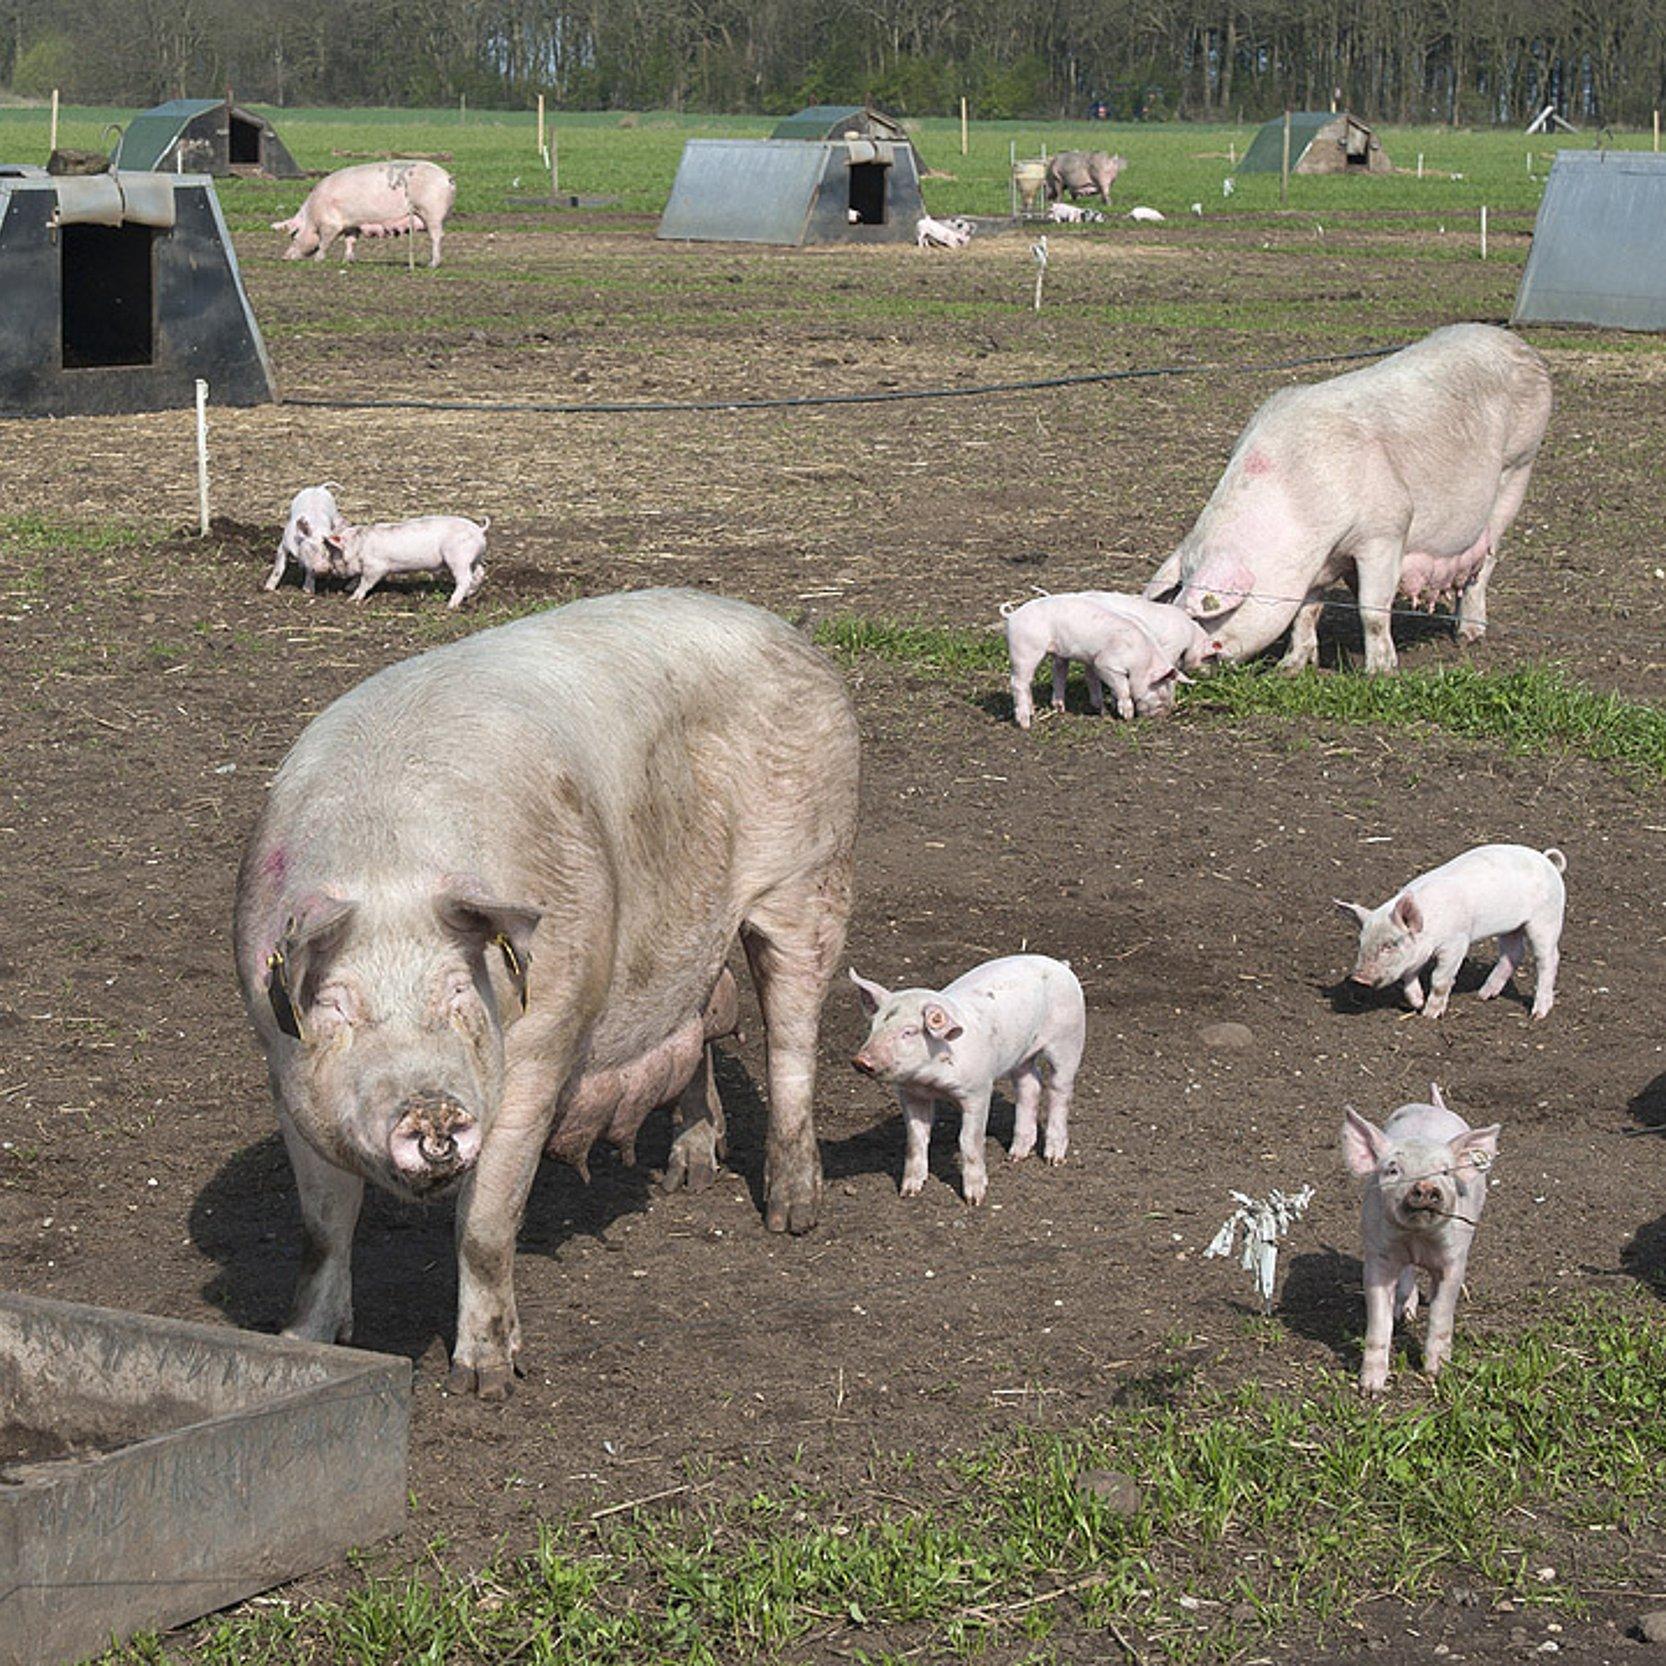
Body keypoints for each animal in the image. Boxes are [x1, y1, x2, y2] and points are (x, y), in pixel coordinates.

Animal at [234, 593, 859, 1399]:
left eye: (460, 991)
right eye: (338, 1005)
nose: (430, 1107)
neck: (388, 864)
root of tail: (790, 632)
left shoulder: (540, 1050)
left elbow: (483, 1229)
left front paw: (489, 1382)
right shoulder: (284, 1073)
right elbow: (322, 1227)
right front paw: (300, 1344)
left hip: (812, 877)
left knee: (792, 1043)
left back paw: (791, 1215)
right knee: (696, 1032)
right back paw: (689, 1172)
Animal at [852, 959, 1086, 1206]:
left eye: (909, 1031)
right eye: (873, 1027)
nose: (860, 1060)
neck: (930, 1080)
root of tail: (1059, 965)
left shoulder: (979, 1090)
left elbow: (969, 1140)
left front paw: (974, 1200)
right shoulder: (910, 1093)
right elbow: (915, 1138)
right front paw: (908, 1192)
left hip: (1069, 1038)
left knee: (1060, 1090)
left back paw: (1054, 1159)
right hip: (1021, 1055)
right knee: (1030, 1085)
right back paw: (1014, 1156)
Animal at [1146, 326, 1546, 676]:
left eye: (1205, 615)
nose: (1188, 661)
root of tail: (1519, 345)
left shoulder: (1386, 530)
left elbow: (1373, 611)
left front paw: (1380, 672)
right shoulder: (1317, 564)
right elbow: (1306, 613)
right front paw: (1289, 669)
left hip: (1517, 468)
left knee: (1486, 563)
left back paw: (1469, 636)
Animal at [1332, 839, 1566, 1019]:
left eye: (1390, 945)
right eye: (1361, 942)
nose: (1358, 978)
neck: (1429, 929)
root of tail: (1548, 861)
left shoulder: (1456, 943)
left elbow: (1439, 980)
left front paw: (1428, 1015)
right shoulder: (1418, 954)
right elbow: (1408, 977)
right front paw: (1417, 1003)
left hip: (1546, 919)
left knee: (1548, 959)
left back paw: (1537, 1014)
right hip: (1511, 927)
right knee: (1513, 953)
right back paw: (1483, 995)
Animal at [1346, 1092, 1506, 1392]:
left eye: (1445, 1172)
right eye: (1393, 1170)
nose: (1425, 1186)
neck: (1417, 1238)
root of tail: (1434, 1107)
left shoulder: (1453, 1260)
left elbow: (1442, 1312)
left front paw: (1436, 1374)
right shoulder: (1378, 1256)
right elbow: (1379, 1321)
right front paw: (1370, 1390)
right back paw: (1406, 1312)